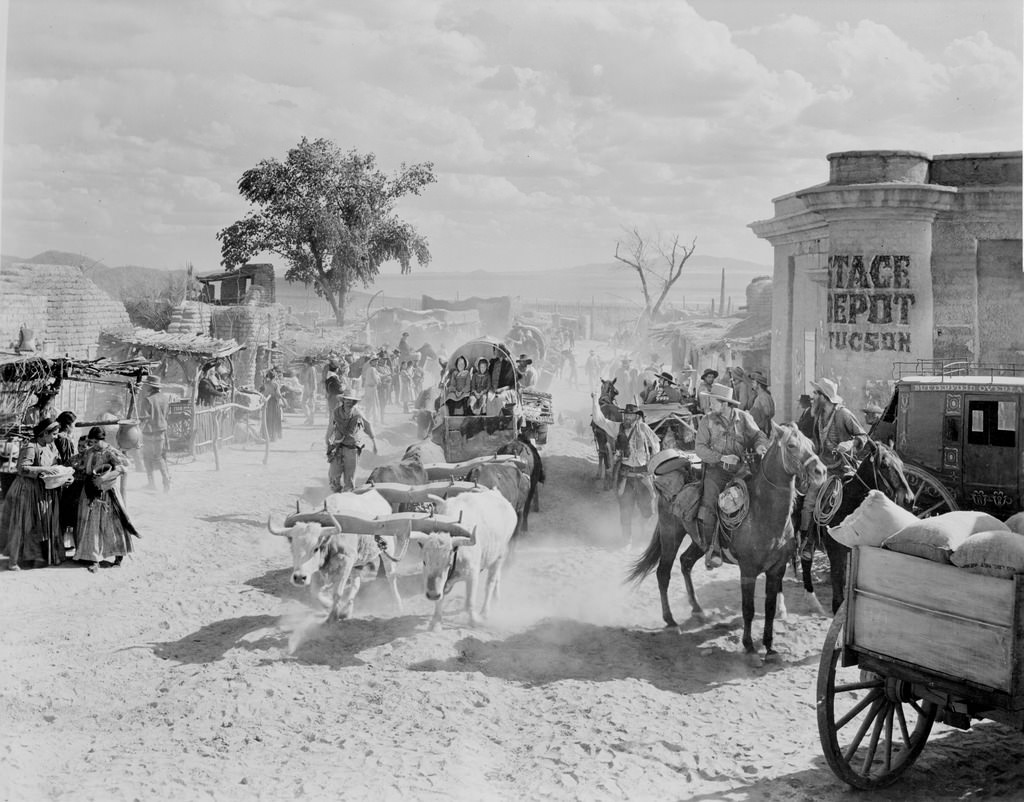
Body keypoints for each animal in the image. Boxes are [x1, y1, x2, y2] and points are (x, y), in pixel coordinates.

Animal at [626, 424, 827, 663]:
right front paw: (749, 647)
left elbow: (769, 608)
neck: (763, 512)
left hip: (700, 541)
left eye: (812, 444)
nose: (821, 471)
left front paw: (769, 648)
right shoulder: (748, 570)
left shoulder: (776, 570)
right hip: (670, 533)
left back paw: (697, 609)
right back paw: (671, 621)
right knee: (663, 573)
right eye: (792, 445)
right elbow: (748, 608)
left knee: (685, 562)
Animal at [798, 438, 913, 614]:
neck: (849, 502)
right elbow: (838, 592)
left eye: (901, 464)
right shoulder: (836, 551)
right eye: (884, 465)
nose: (909, 499)